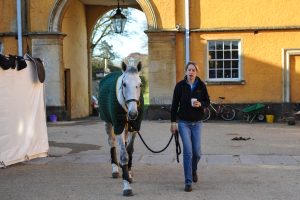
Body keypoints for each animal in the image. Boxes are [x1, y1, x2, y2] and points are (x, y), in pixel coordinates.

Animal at [98, 60, 144, 195]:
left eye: (140, 84)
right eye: (124, 84)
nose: (133, 114)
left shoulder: (134, 127)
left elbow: (130, 150)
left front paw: (129, 173)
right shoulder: (118, 126)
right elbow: (124, 155)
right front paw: (127, 186)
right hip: (108, 123)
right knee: (112, 143)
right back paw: (115, 169)